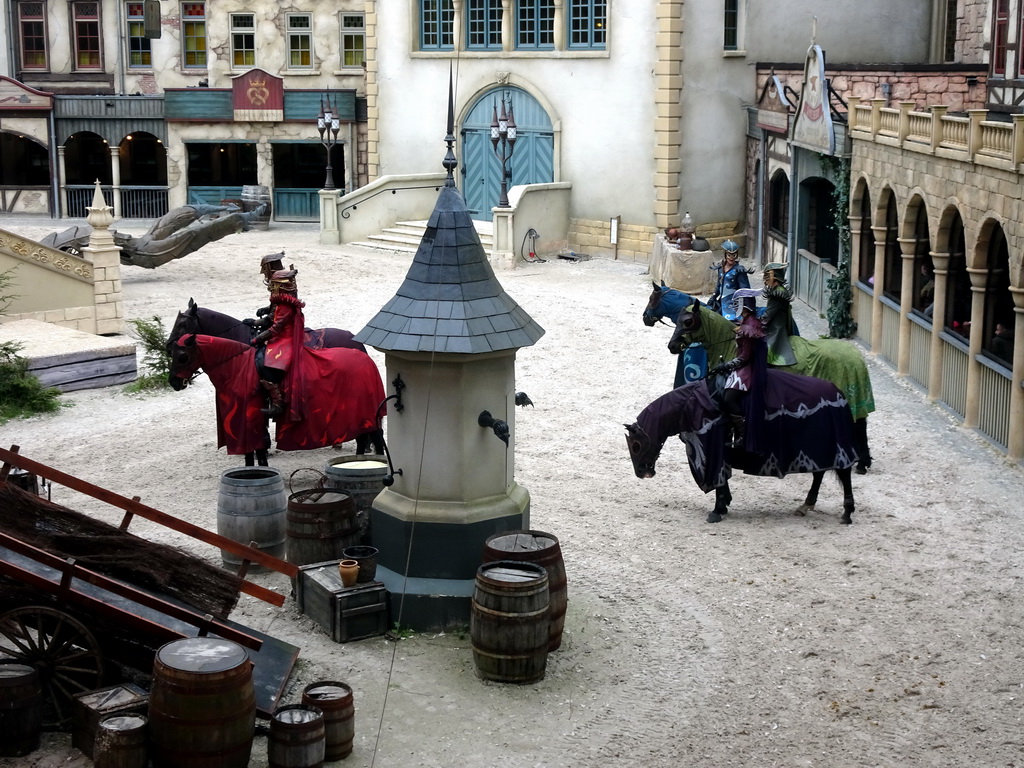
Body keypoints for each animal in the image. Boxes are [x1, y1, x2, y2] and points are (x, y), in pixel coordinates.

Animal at [626, 370, 860, 528]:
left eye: (636, 446)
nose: (641, 472)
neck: (691, 404)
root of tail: (840, 393)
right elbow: (723, 481)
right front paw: (724, 504)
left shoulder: (713, 449)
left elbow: (719, 480)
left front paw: (717, 510)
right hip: (820, 449)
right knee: (819, 474)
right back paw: (806, 505)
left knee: (844, 473)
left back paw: (847, 512)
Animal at [651, 284, 876, 475]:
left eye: (688, 321)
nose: (672, 346)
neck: (729, 344)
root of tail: (856, 357)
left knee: (860, 424)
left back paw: (860, 462)